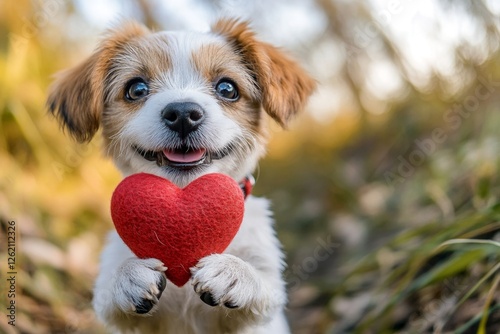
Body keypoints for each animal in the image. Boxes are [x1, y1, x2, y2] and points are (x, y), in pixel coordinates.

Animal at [47, 18, 312, 334]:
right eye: (136, 88)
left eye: (227, 88)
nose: (184, 113)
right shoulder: (120, 309)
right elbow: (108, 294)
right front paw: (128, 275)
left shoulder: (264, 295)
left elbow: (265, 285)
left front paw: (233, 271)